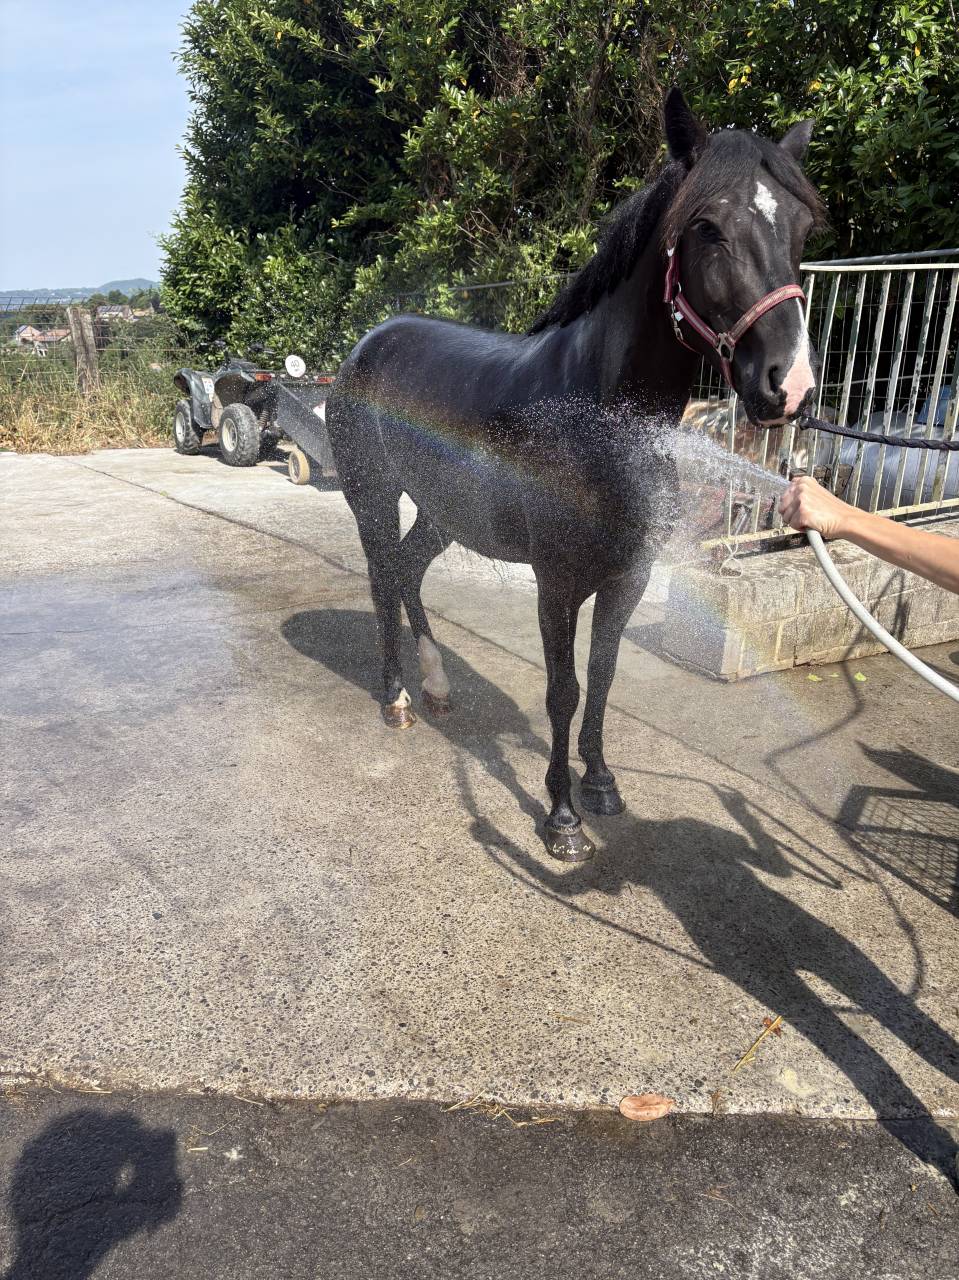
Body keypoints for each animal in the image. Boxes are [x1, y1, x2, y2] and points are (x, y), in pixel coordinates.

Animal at [324, 88, 825, 862]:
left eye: (800, 226)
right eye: (707, 227)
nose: (789, 384)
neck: (597, 416)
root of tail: (367, 346)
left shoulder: (627, 579)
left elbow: (602, 676)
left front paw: (601, 786)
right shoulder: (556, 583)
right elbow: (562, 689)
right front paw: (562, 818)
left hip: (442, 511)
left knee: (406, 571)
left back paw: (437, 685)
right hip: (374, 498)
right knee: (382, 579)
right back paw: (398, 698)